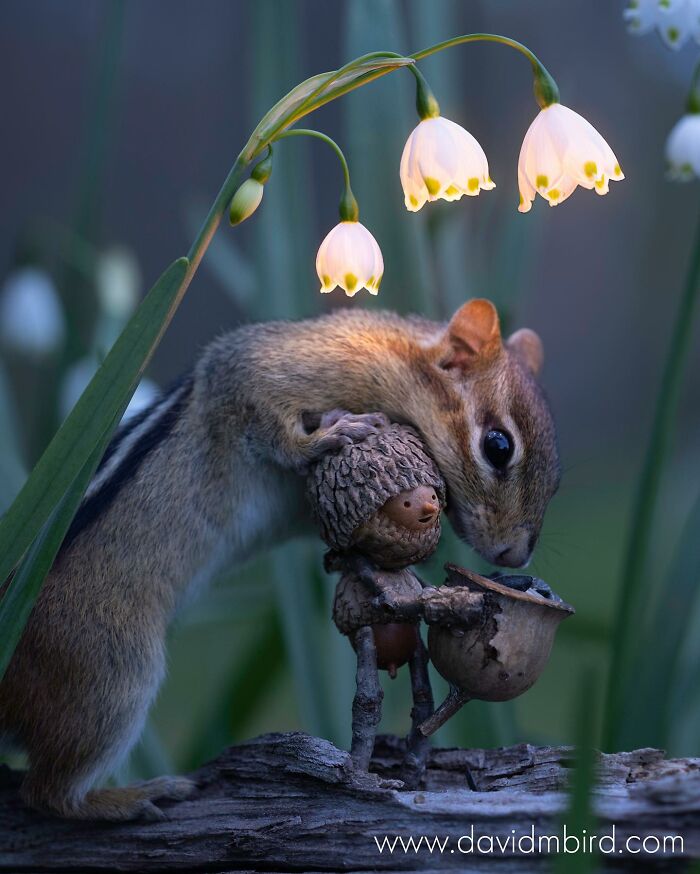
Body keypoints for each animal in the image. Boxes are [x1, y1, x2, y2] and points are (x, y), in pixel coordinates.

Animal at [0, 298, 559, 821]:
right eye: (498, 446)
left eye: (555, 482)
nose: (514, 553)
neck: (393, 362)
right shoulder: (267, 371)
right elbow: (266, 419)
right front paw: (325, 437)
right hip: (110, 675)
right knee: (47, 793)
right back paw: (128, 797)